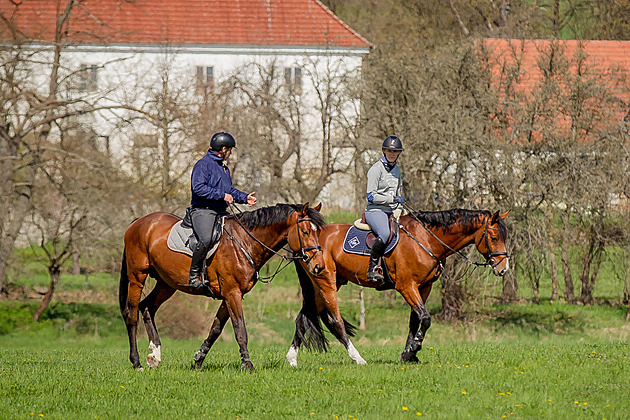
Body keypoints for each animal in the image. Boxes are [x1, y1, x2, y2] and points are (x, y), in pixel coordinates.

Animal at [118, 203, 326, 370]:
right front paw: (247, 365)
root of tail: (138, 222)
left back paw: (154, 356)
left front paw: (199, 359)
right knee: (132, 315)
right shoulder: (232, 293)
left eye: (318, 233)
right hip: (137, 277)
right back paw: (136, 362)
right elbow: (240, 330)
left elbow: (216, 329)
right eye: (306, 232)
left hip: (166, 283)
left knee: (147, 307)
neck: (244, 242)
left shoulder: (231, 295)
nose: (319, 266)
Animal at [288, 208, 512, 366]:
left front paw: (408, 354)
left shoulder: (424, 287)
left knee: (304, 317)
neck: (425, 239)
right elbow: (425, 318)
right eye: (494, 238)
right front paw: (413, 348)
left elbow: (415, 320)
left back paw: (292, 359)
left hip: (324, 286)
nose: (504, 268)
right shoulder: (406, 286)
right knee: (335, 321)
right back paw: (357, 358)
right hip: (326, 283)